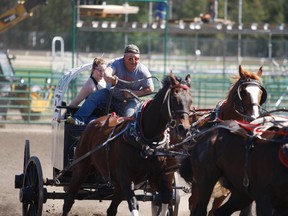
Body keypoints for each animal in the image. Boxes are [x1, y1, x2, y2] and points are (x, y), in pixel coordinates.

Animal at [63, 72, 194, 216]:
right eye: (174, 99)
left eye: (190, 100)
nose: (184, 128)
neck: (146, 143)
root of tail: (94, 122)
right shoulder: (125, 178)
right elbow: (133, 203)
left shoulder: (158, 176)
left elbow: (166, 197)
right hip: (80, 169)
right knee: (68, 201)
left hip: (118, 185)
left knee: (111, 210)